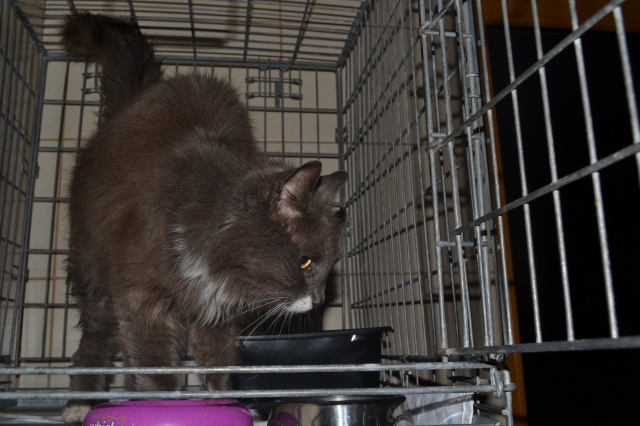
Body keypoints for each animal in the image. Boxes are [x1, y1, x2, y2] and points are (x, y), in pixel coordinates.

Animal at [60, 13, 347, 424]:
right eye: (305, 261)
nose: (320, 299)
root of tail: (134, 99)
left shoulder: (215, 314)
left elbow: (217, 362)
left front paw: (222, 403)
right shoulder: (142, 296)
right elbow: (156, 363)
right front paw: (162, 405)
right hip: (93, 266)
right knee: (96, 333)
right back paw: (80, 401)